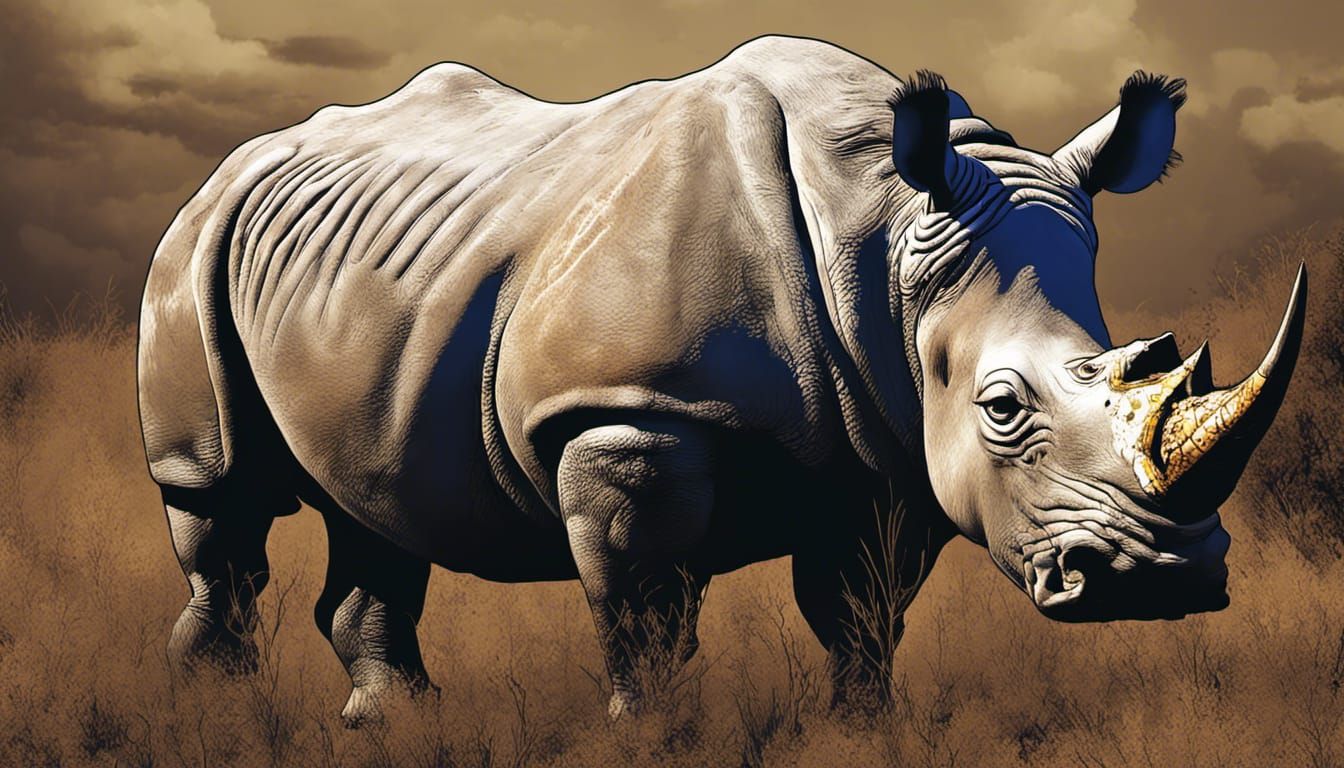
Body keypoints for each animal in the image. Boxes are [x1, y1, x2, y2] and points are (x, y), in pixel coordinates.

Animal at [137, 36, 1306, 721]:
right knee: (219, 497)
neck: (884, 239)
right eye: (1004, 408)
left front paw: (861, 730)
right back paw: (217, 715)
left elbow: (861, 615)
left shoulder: (887, 450)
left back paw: (397, 726)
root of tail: (240, 161)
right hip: (193, 241)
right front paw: (651, 737)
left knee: (371, 507)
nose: (1163, 582)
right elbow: (645, 614)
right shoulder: (629, 416)